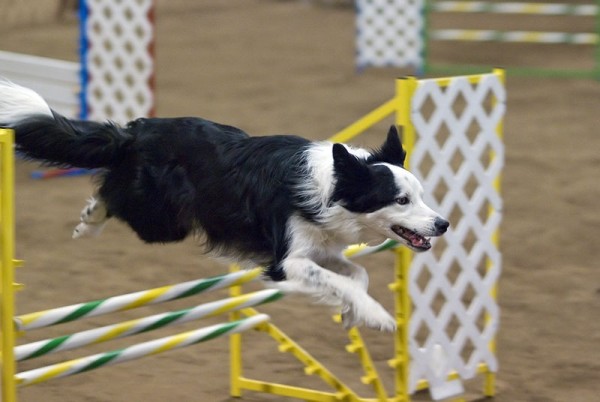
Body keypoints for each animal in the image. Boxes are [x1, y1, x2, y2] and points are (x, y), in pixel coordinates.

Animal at [0, 78, 448, 330]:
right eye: (401, 200)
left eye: (422, 195)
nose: (443, 224)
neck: (331, 186)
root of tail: (136, 130)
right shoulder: (287, 260)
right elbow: (337, 281)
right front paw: (376, 316)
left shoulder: (320, 247)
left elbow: (357, 275)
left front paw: (353, 312)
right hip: (164, 219)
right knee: (112, 193)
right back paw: (89, 220)